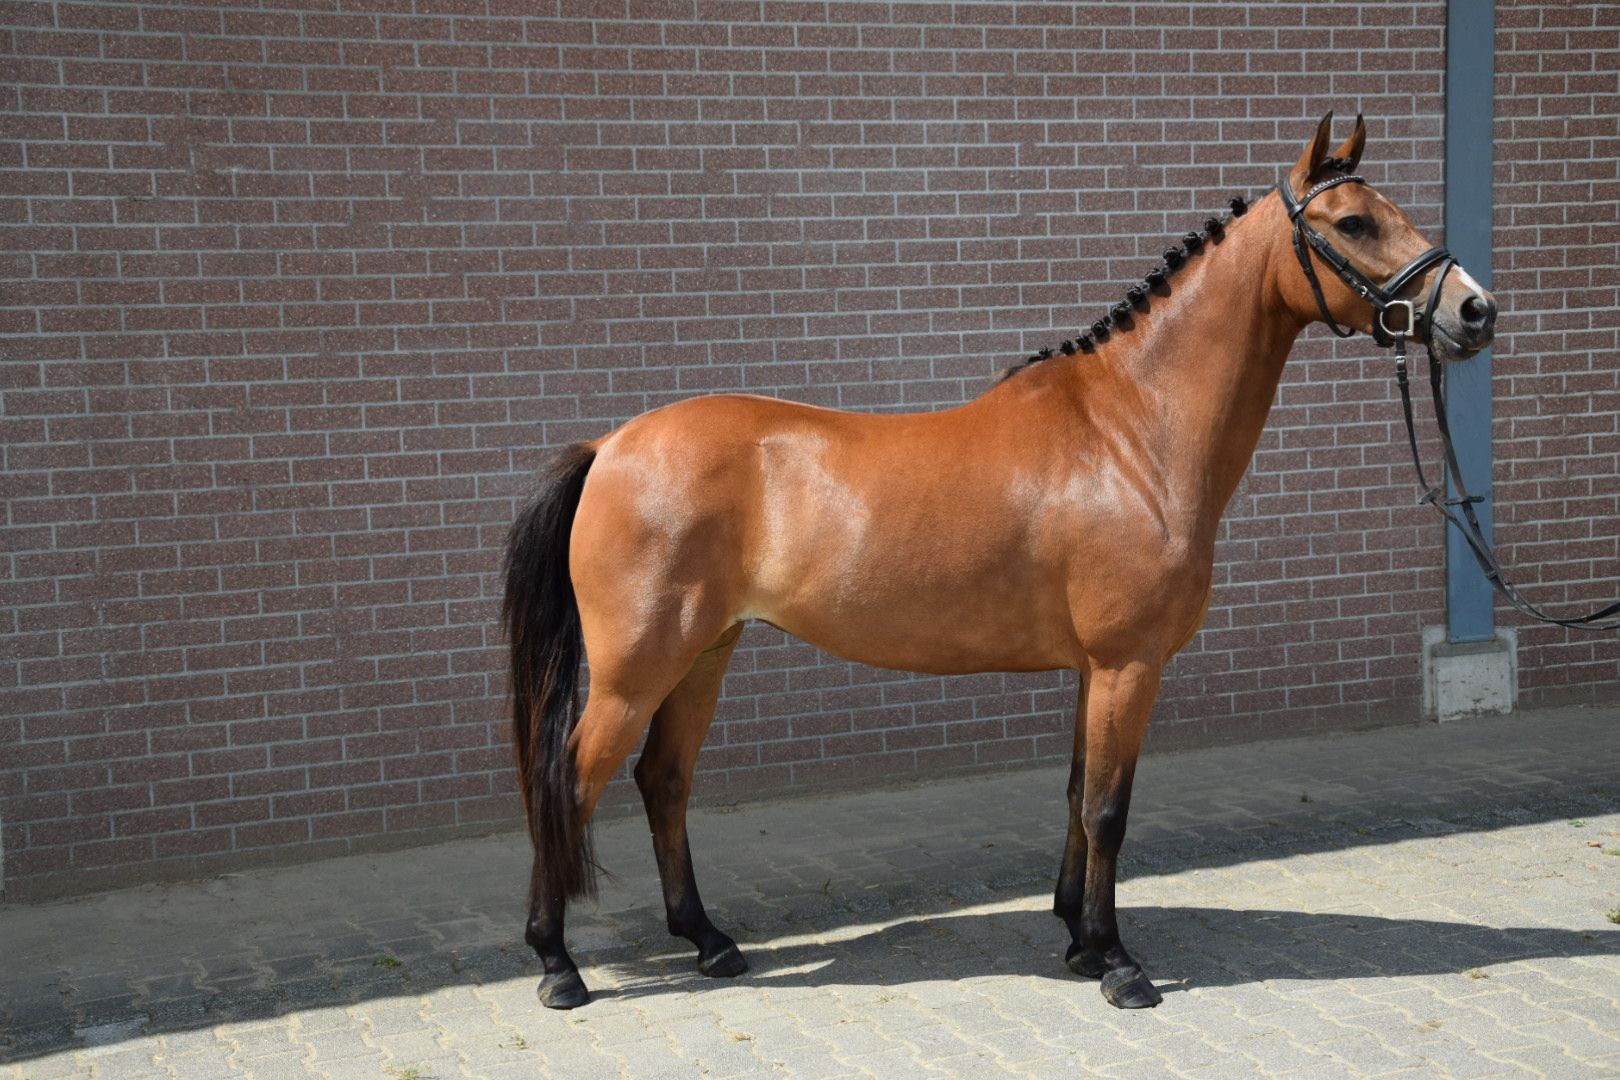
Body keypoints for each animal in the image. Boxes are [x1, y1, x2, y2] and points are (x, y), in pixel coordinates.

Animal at [501, 113, 1497, 1011]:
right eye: (1354, 223)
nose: (1474, 310)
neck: (1133, 431)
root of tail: (611, 446)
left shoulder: (1094, 670)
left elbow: (1077, 795)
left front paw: (1079, 943)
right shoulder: (1129, 664)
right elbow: (1108, 810)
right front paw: (1121, 966)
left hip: (704, 654)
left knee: (662, 782)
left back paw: (708, 942)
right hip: (636, 669)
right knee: (569, 784)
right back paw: (557, 966)